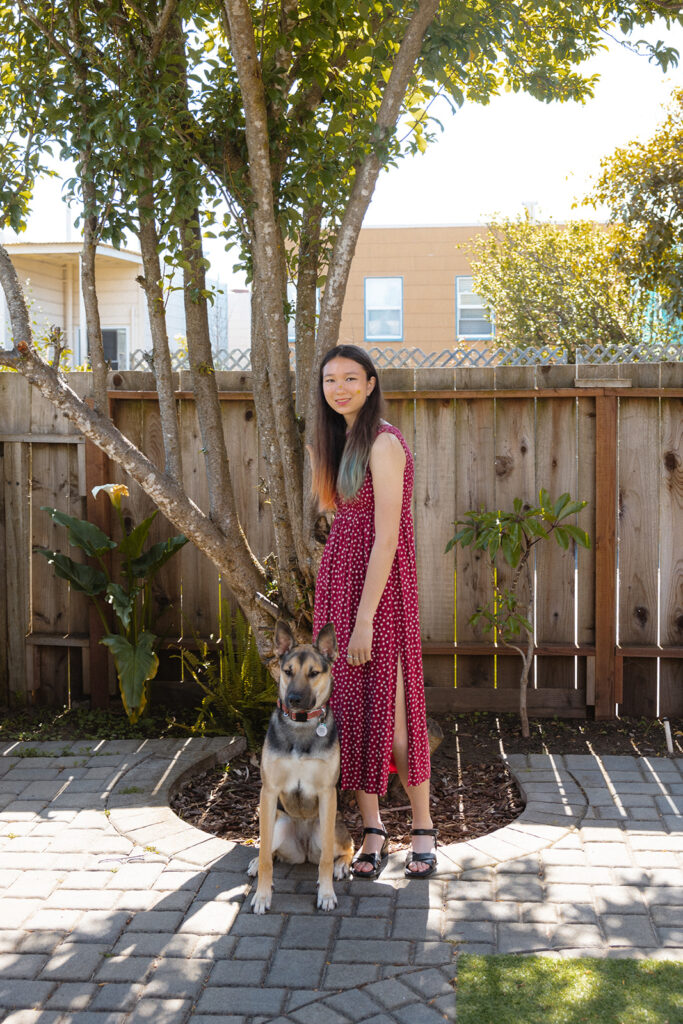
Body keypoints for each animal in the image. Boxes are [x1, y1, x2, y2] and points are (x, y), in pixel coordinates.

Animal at [248, 614, 356, 913]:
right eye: (288, 671)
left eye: (314, 673)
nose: (294, 699)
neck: (301, 726)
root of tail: (305, 851)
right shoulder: (268, 792)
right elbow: (266, 857)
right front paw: (262, 895)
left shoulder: (327, 793)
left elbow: (327, 859)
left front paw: (327, 894)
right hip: (279, 822)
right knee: (269, 850)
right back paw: (255, 863)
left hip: (329, 827)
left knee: (347, 847)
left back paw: (342, 866)